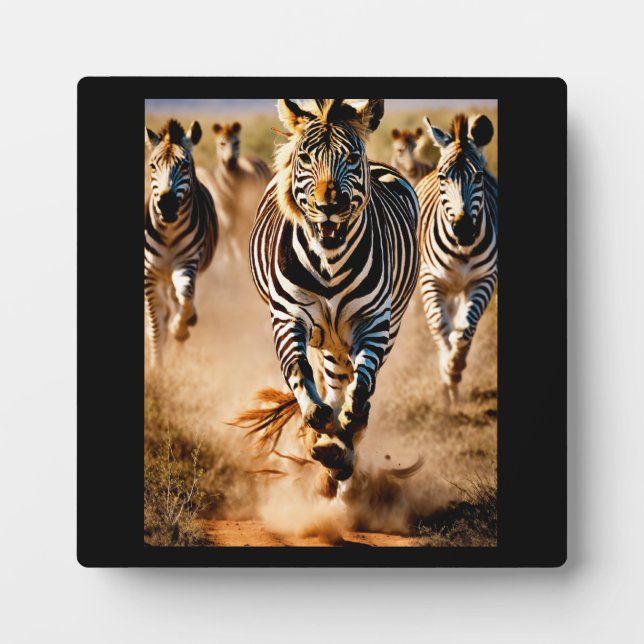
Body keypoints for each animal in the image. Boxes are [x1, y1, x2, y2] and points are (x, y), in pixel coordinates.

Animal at [144, 119, 218, 368]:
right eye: (152, 166)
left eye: (185, 166)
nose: (166, 205)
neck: (168, 231)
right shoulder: (150, 273)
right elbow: (156, 325)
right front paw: (156, 368)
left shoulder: (186, 264)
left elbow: (185, 299)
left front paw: (180, 329)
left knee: (180, 300)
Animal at [195, 122, 272, 261]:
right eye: (222, 143)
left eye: (237, 143)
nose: (231, 162)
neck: (232, 185)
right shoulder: (225, 211)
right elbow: (231, 233)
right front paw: (235, 257)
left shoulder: (246, 208)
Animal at [234, 99, 419, 495]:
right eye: (305, 157)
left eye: (351, 156)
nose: (329, 205)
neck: (330, 261)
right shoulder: (287, 317)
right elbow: (299, 371)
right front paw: (319, 426)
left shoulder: (373, 323)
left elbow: (361, 387)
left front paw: (346, 431)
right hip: (327, 338)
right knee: (330, 381)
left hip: (383, 327)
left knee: (350, 382)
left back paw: (343, 448)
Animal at [415, 113, 497, 406]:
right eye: (443, 177)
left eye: (479, 176)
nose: (463, 229)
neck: (461, 248)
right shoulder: (431, 279)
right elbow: (441, 326)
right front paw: (446, 371)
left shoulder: (484, 279)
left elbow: (465, 329)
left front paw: (455, 368)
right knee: (443, 323)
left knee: (461, 323)